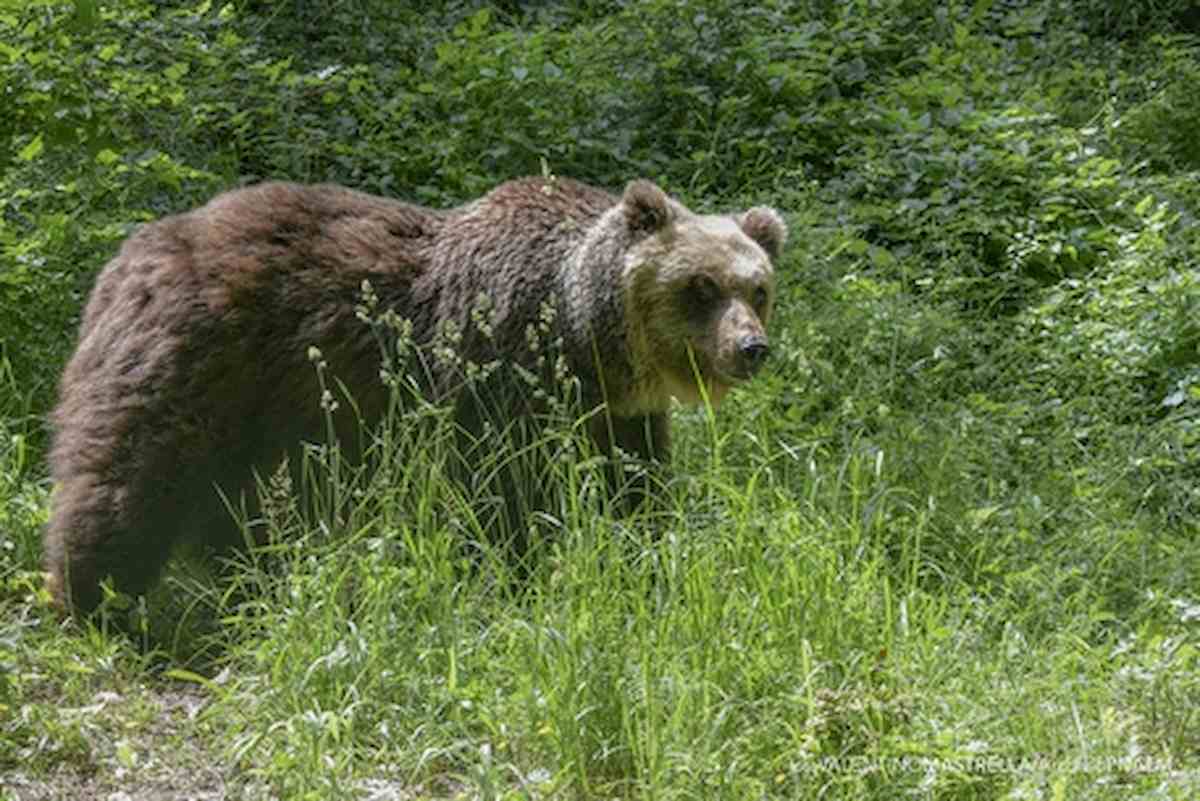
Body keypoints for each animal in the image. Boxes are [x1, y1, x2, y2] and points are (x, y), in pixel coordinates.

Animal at [44, 176, 787, 616]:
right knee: (133, 471)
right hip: (195, 362)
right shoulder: (499, 370)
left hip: (258, 409)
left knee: (237, 499)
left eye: (757, 288)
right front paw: (517, 576)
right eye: (701, 287)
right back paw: (93, 597)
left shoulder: (615, 413)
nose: (751, 347)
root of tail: (128, 255)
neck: (583, 336)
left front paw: (644, 563)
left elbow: (630, 488)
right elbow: (503, 493)